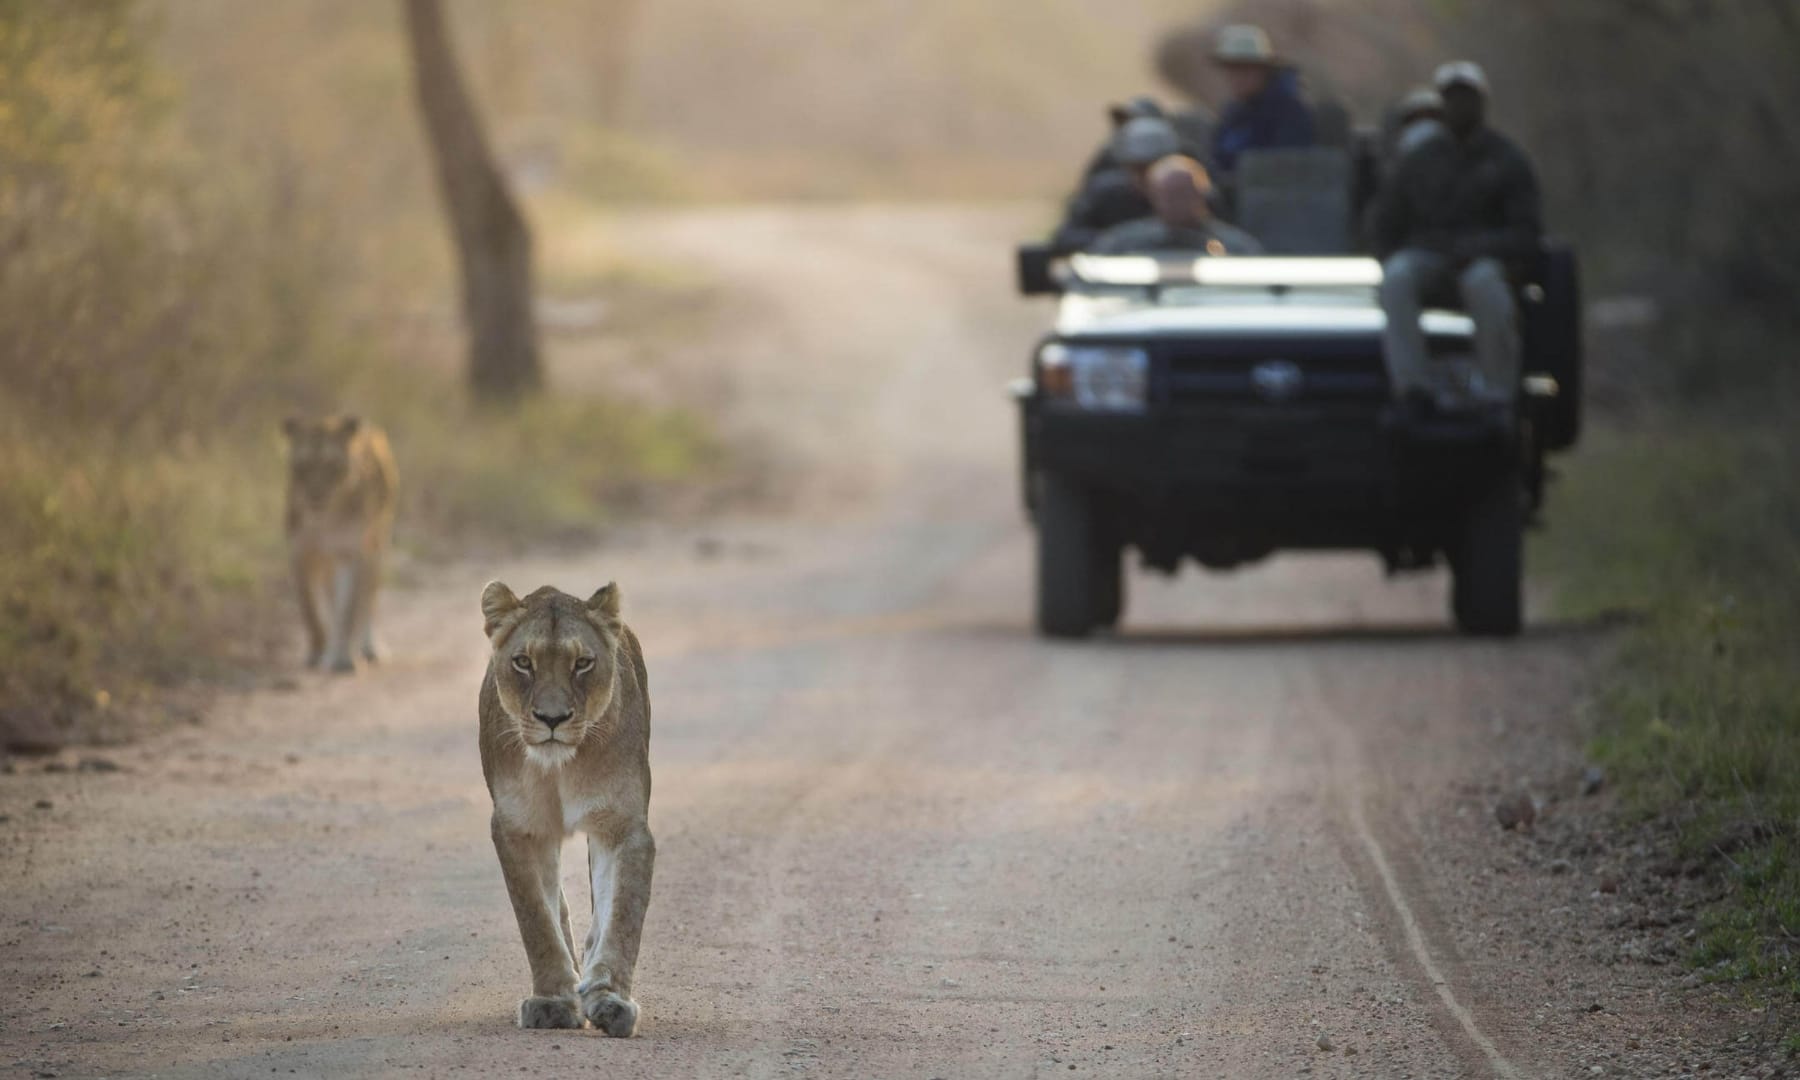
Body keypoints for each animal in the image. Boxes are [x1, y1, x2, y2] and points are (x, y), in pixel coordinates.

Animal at [282, 415, 397, 673]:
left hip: (376, 545)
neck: (325, 518)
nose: (315, 496)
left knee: (368, 598)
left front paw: (344, 659)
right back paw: (330, 650)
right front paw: (317, 653)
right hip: (327, 562)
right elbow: (310, 610)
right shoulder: (300, 553)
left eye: (331, 466)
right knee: (330, 601)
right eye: (303, 466)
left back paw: (365, 648)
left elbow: (348, 610)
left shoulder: (352, 554)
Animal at [478, 581, 655, 1036]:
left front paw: (609, 999)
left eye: (583, 663)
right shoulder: (518, 827)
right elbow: (537, 918)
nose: (552, 718)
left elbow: (621, 916)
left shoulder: (624, 826)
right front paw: (554, 1001)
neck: (559, 766)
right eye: (523, 662)